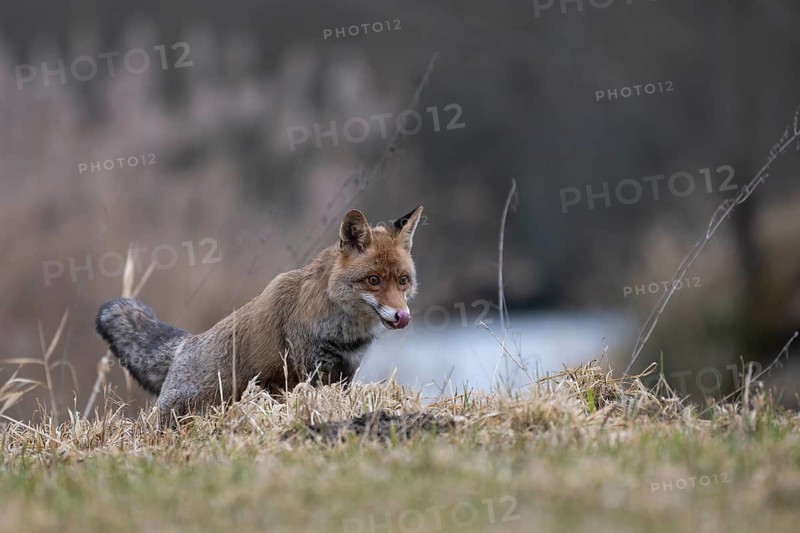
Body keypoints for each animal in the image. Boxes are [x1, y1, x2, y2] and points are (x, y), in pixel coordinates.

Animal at [95, 206, 423, 423]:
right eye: (373, 280)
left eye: (403, 280)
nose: (402, 315)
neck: (345, 332)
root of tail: (184, 345)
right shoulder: (312, 369)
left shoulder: (346, 372)